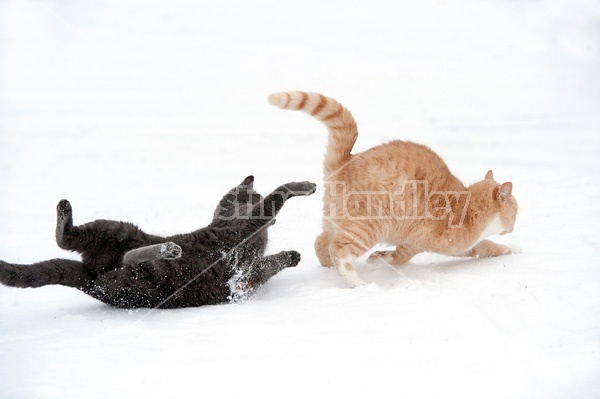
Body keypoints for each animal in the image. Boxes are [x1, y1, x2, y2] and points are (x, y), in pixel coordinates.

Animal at [0, 177, 316, 310]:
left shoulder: (248, 275)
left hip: (115, 236)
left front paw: (292, 255)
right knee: (70, 241)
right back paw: (169, 249)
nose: (273, 226)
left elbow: (268, 265)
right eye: (254, 195)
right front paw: (305, 186)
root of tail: (92, 281)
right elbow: (277, 195)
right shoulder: (248, 229)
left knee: (73, 243)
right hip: (120, 234)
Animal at [270, 92, 516, 290]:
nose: (513, 227)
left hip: (337, 221)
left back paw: (330, 269)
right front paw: (379, 258)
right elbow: (400, 256)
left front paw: (512, 250)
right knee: (338, 250)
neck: (467, 205)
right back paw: (356, 282)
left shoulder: (463, 247)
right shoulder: (420, 240)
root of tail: (348, 160)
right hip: (369, 226)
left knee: (322, 243)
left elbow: (487, 247)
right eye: (515, 213)